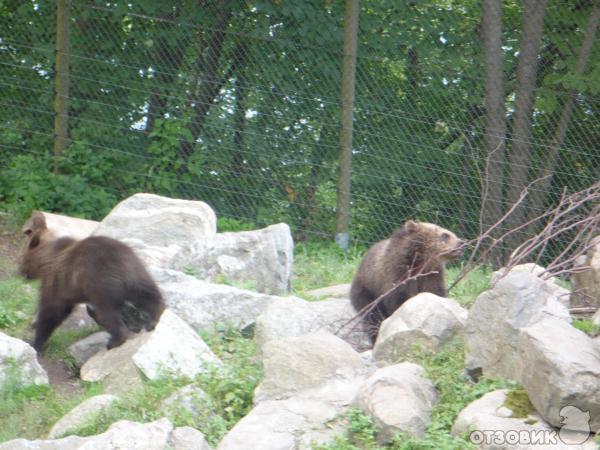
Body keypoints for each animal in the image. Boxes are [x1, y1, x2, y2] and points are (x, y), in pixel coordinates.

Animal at [18, 213, 165, 354]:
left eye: (21, 258)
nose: (19, 272)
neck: (45, 258)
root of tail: (121, 267)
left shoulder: (57, 278)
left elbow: (51, 310)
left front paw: (35, 341)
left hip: (100, 283)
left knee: (106, 312)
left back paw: (114, 340)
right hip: (137, 273)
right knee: (149, 294)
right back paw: (154, 319)